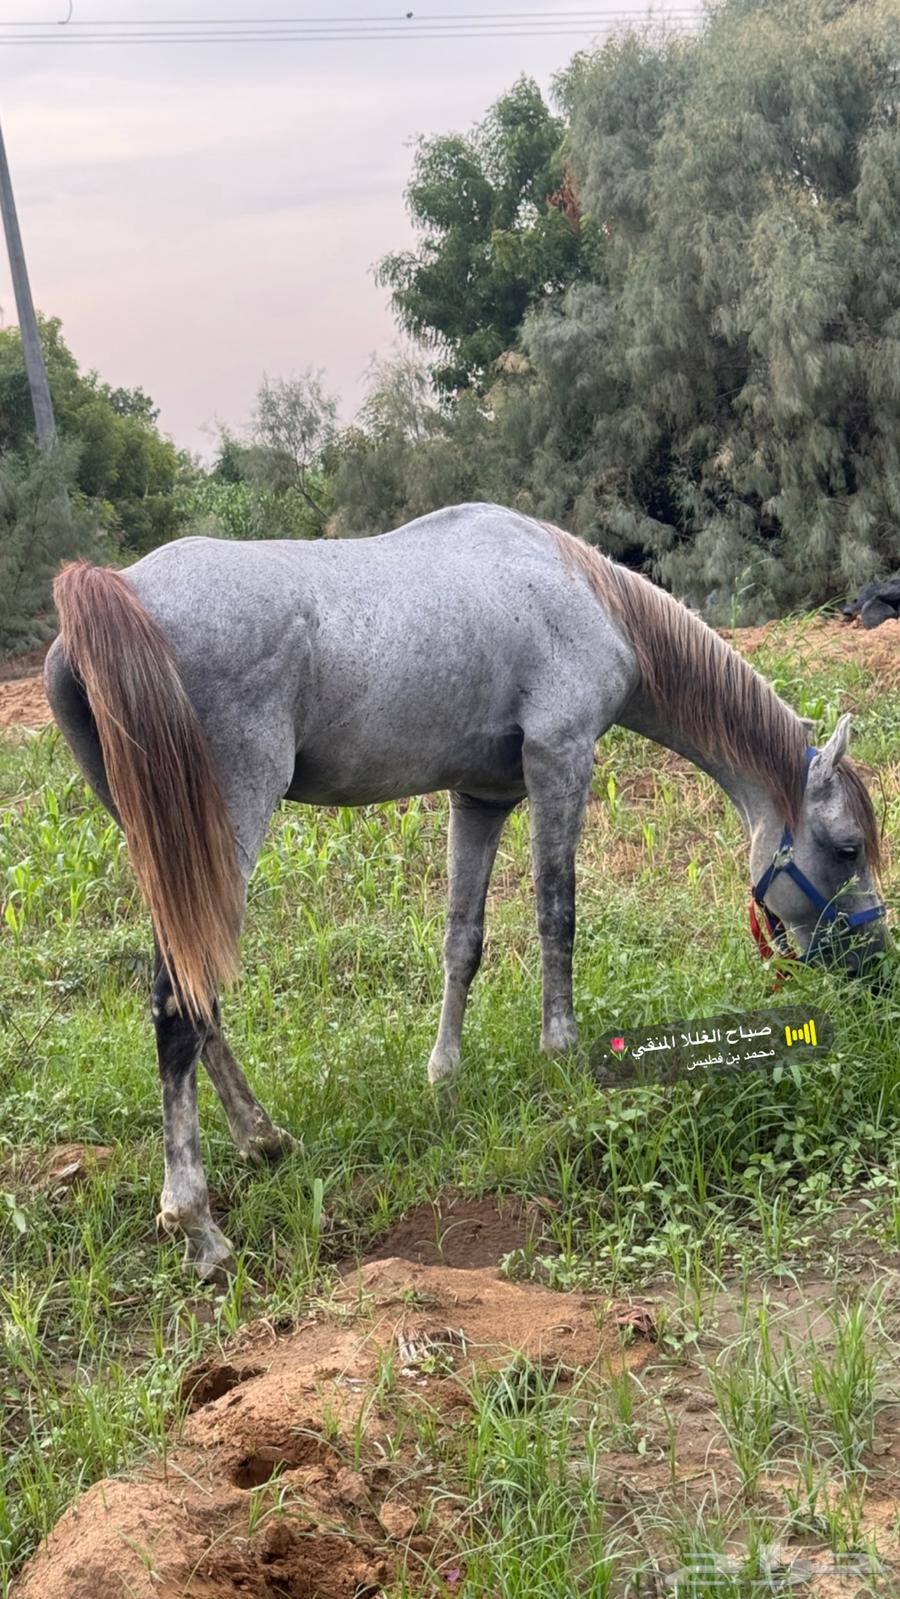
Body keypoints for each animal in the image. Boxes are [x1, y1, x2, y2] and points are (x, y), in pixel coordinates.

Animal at [44, 502, 889, 1277]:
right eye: (847, 847)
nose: (877, 964)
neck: (580, 591)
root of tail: (119, 591)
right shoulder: (560, 759)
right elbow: (556, 912)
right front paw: (561, 1050)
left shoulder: (481, 797)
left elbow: (464, 939)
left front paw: (443, 1075)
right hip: (227, 826)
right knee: (177, 1001)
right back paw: (198, 1224)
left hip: (173, 855)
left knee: (199, 986)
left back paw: (263, 1137)